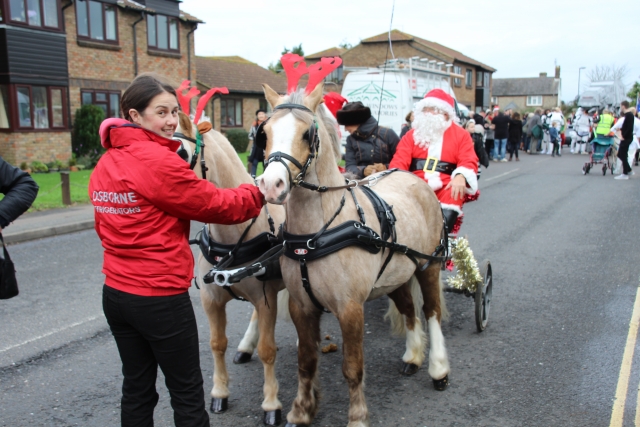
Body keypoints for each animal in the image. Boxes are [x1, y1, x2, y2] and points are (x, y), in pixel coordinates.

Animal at [174, 109, 286, 424]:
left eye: (179, 151)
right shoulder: (211, 300)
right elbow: (216, 344)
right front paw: (219, 393)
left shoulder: (265, 297)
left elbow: (268, 350)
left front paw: (271, 404)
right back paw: (246, 346)